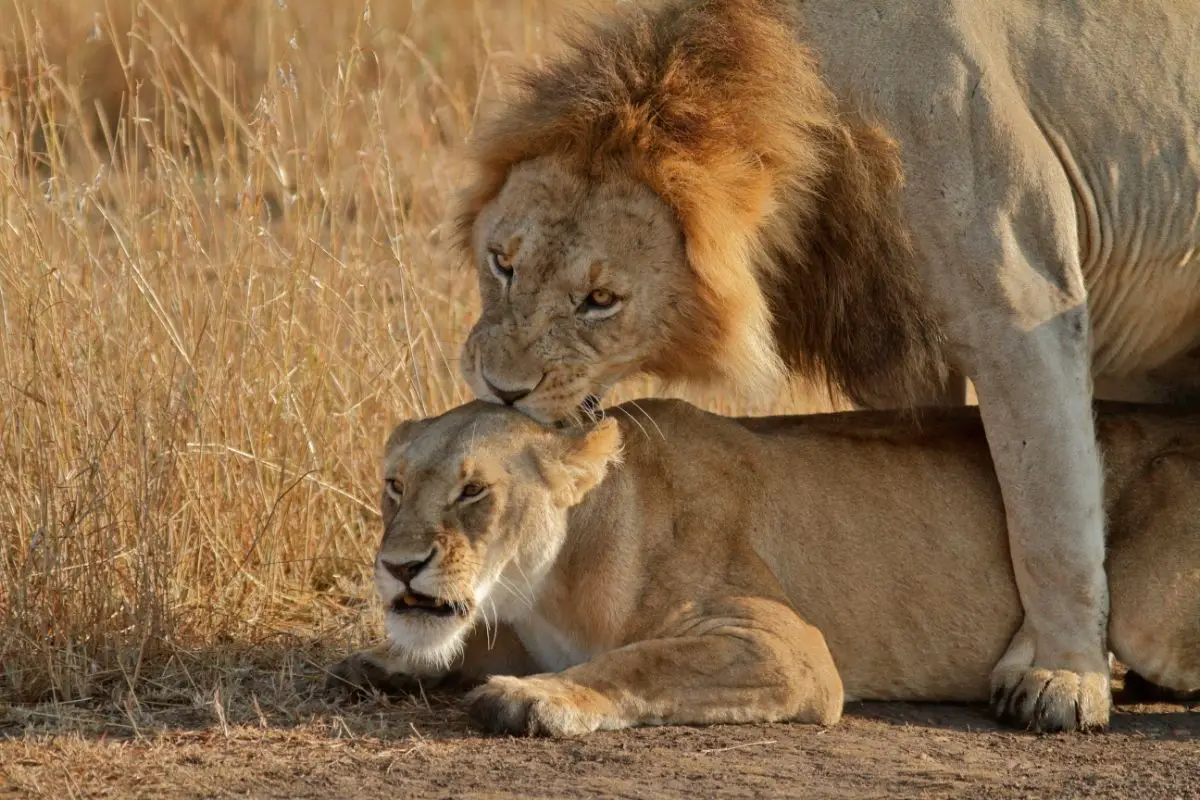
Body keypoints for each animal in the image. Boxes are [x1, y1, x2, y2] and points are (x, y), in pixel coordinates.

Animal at [326, 400, 1200, 738]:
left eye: (474, 489)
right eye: (395, 484)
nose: (397, 567)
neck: (548, 588)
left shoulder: (787, 646)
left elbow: (639, 660)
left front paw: (536, 698)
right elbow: (461, 643)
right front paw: (391, 661)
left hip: (1146, 609)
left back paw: (1044, 678)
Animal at [451, 0, 1200, 734]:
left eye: (600, 300)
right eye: (503, 262)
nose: (501, 389)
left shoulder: (1025, 298)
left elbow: (1050, 517)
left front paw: (1061, 679)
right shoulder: (898, 349)